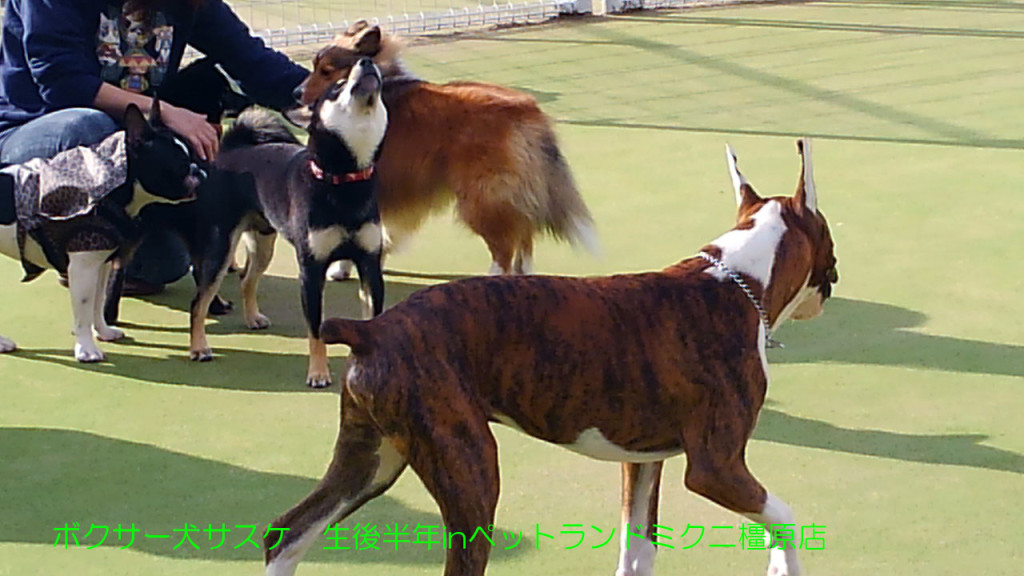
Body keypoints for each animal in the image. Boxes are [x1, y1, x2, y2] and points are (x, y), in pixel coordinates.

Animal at [180, 57, 387, 385]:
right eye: (337, 88)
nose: (366, 61)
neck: (344, 180)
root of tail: (233, 149)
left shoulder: (369, 264)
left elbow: (374, 319)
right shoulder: (311, 272)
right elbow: (316, 330)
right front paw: (318, 372)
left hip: (263, 243)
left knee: (247, 280)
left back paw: (252, 318)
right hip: (220, 250)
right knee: (198, 302)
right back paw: (199, 347)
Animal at [264, 140, 839, 573]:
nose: (833, 279)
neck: (740, 279)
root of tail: (373, 327)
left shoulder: (643, 463)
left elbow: (638, 554)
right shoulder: (717, 468)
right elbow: (786, 520)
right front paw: (781, 566)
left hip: (371, 460)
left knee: (287, 534)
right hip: (468, 473)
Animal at [294, 23, 598, 278]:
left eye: (326, 71)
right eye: (315, 66)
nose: (296, 93)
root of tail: (529, 110)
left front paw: (342, 268)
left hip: (483, 197)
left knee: (505, 247)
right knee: (524, 237)